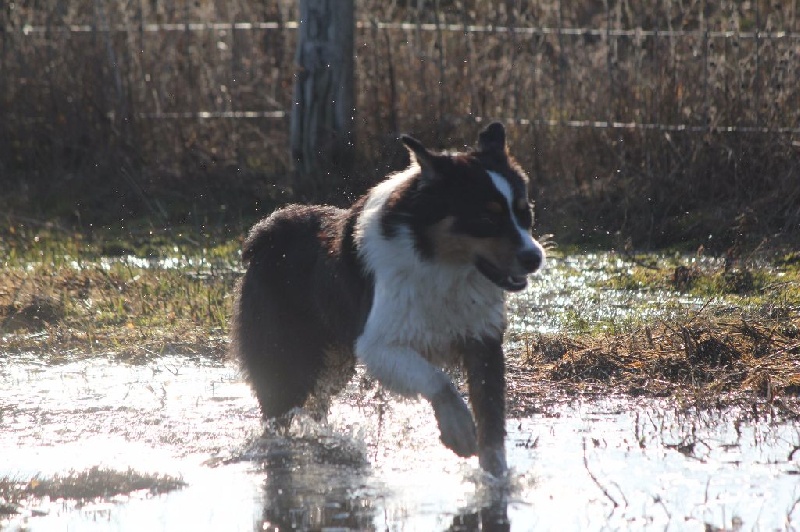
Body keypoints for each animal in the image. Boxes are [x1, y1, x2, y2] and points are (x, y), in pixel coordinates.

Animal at [228, 122, 548, 476]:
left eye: (526, 213)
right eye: (487, 219)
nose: (534, 258)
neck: (441, 264)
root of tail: (266, 231)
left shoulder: (482, 340)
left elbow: (491, 421)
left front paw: (496, 477)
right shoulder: (380, 344)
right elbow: (438, 381)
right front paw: (460, 430)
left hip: (334, 363)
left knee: (315, 405)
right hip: (285, 361)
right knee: (279, 413)